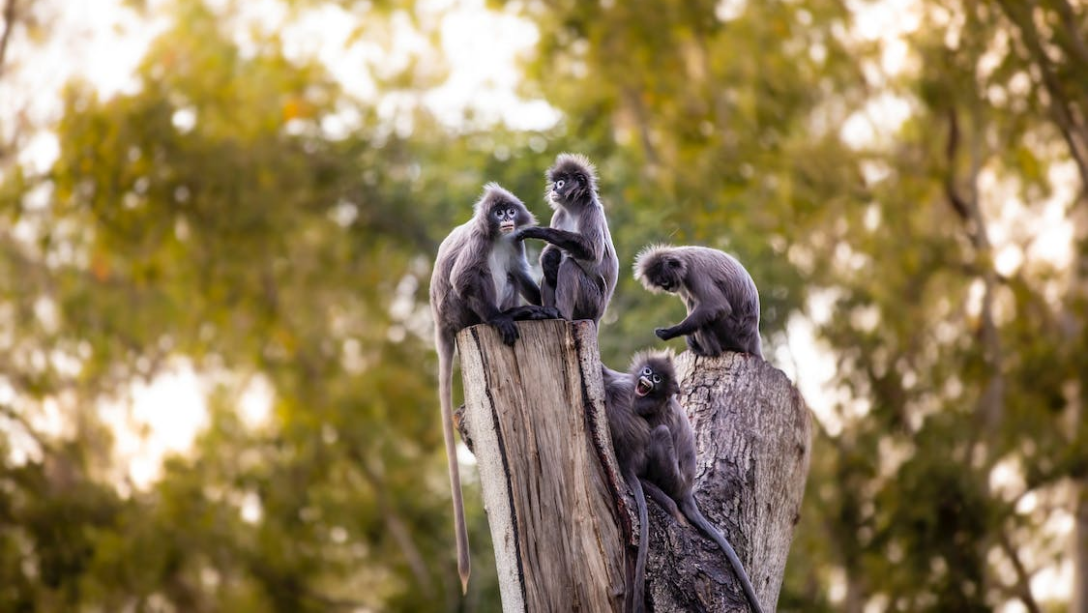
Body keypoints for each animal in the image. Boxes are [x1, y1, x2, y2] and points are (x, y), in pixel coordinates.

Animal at [428, 184, 557, 596]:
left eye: (509, 211)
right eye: (497, 212)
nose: (505, 218)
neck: (499, 237)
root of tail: (442, 323)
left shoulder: (514, 243)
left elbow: (521, 275)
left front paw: (550, 305)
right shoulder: (479, 243)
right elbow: (465, 278)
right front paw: (503, 319)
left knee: (510, 277)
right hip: (460, 311)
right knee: (477, 278)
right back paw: (507, 316)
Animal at [511, 153, 617, 326]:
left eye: (561, 183)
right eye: (555, 183)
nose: (554, 188)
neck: (573, 209)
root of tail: (598, 317)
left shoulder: (590, 210)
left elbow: (593, 252)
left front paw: (539, 231)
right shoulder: (559, 214)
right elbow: (552, 253)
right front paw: (547, 258)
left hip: (591, 302)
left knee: (569, 267)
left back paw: (560, 314)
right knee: (549, 275)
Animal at [604, 350, 765, 613]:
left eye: (657, 378)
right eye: (648, 371)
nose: (647, 378)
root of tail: (687, 490)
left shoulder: (646, 401)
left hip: (671, 475)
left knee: (660, 433)